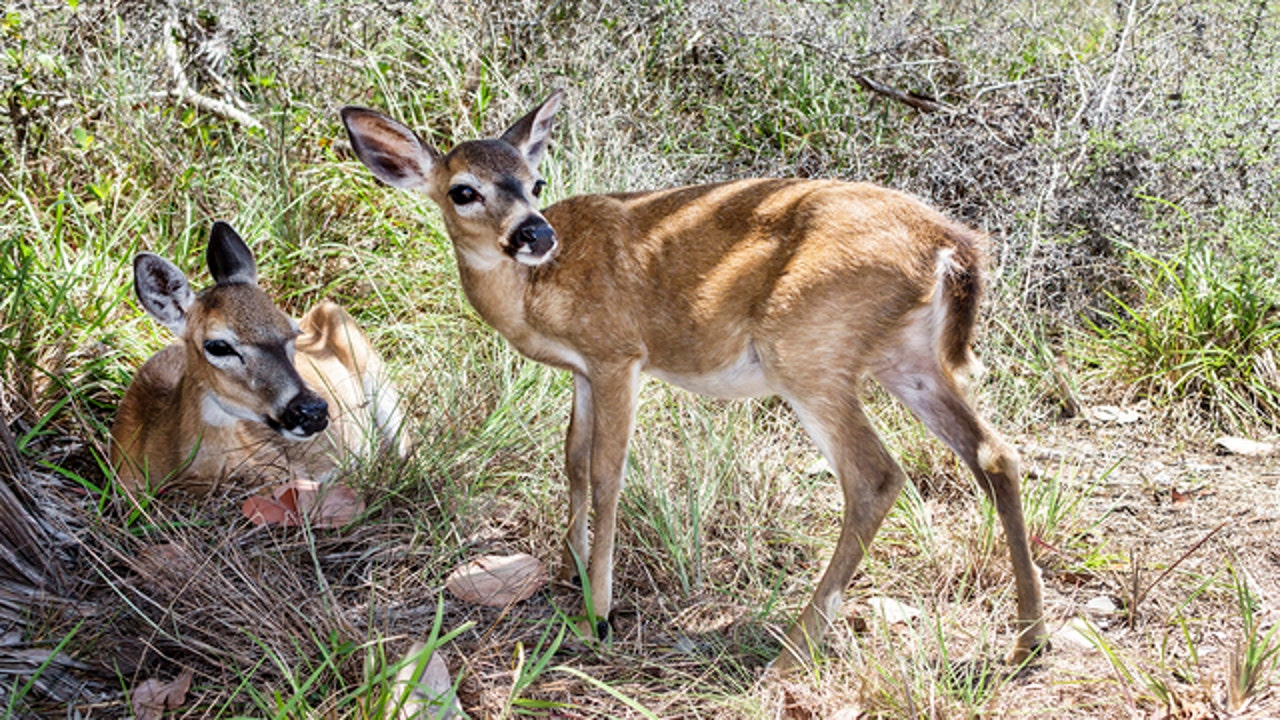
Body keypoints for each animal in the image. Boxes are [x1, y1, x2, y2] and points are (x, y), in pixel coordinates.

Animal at [343, 89, 1049, 666]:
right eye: (463, 190)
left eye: (534, 180)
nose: (535, 233)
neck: (535, 296)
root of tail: (950, 243)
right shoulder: (581, 371)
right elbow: (572, 461)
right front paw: (569, 570)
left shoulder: (619, 355)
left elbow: (606, 472)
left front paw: (597, 612)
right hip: (907, 357)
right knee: (995, 453)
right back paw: (1028, 638)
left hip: (806, 349)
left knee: (875, 475)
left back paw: (793, 648)